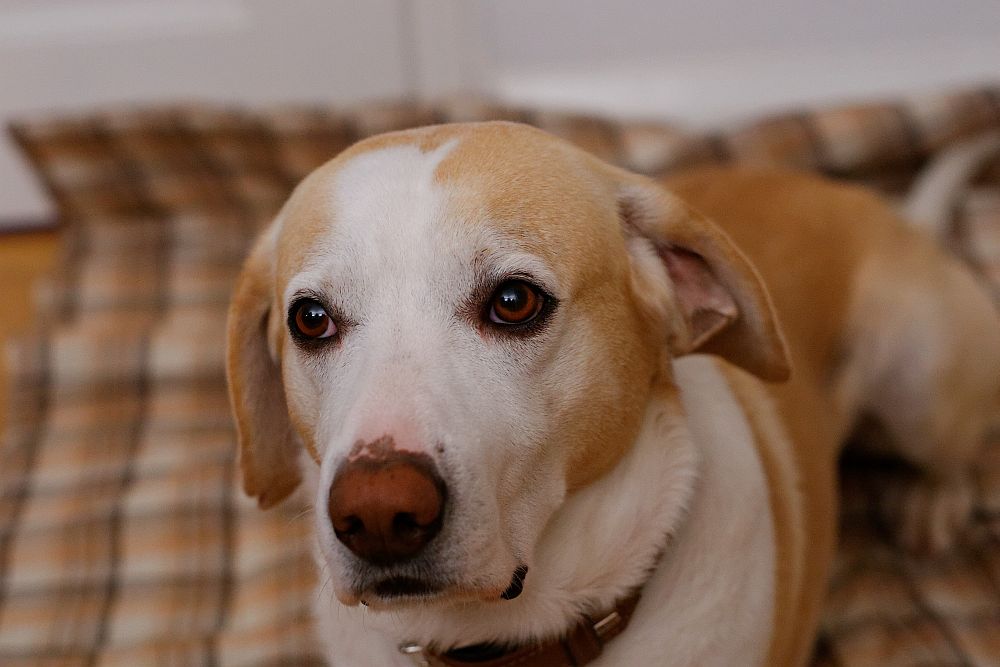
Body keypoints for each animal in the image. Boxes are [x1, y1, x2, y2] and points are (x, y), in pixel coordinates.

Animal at [225, 122, 1000, 664]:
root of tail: (891, 213)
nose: (379, 514)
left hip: (916, 375)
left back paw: (934, 500)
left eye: (514, 301)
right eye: (310, 319)